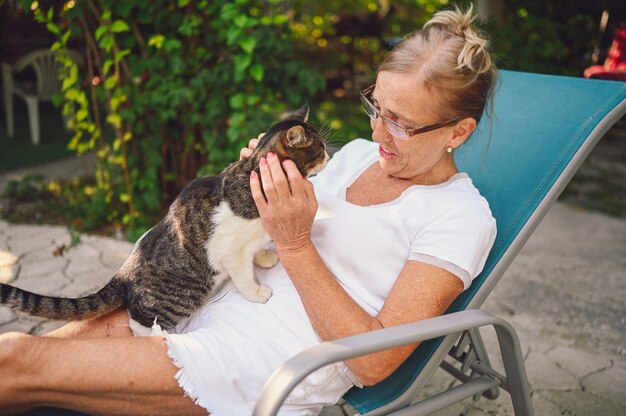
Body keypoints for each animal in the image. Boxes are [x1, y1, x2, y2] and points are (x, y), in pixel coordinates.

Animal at [0, 104, 330, 334]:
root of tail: (123, 272)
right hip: (176, 299)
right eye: (320, 149)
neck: (252, 179)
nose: (328, 155)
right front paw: (258, 292)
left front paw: (264, 257)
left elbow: (259, 246)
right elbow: (245, 277)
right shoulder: (232, 253)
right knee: (138, 322)